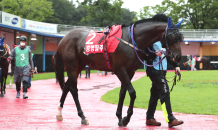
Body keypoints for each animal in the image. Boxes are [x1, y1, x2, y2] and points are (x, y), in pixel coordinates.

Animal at [53, 13, 184, 126]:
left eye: (181, 37)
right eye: (171, 36)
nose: (178, 57)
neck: (131, 40)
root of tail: (63, 39)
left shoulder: (129, 72)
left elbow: (122, 93)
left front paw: (120, 117)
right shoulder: (120, 70)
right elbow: (132, 93)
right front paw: (126, 118)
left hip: (79, 66)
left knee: (66, 86)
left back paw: (59, 113)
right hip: (72, 66)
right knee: (73, 90)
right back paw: (82, 116)